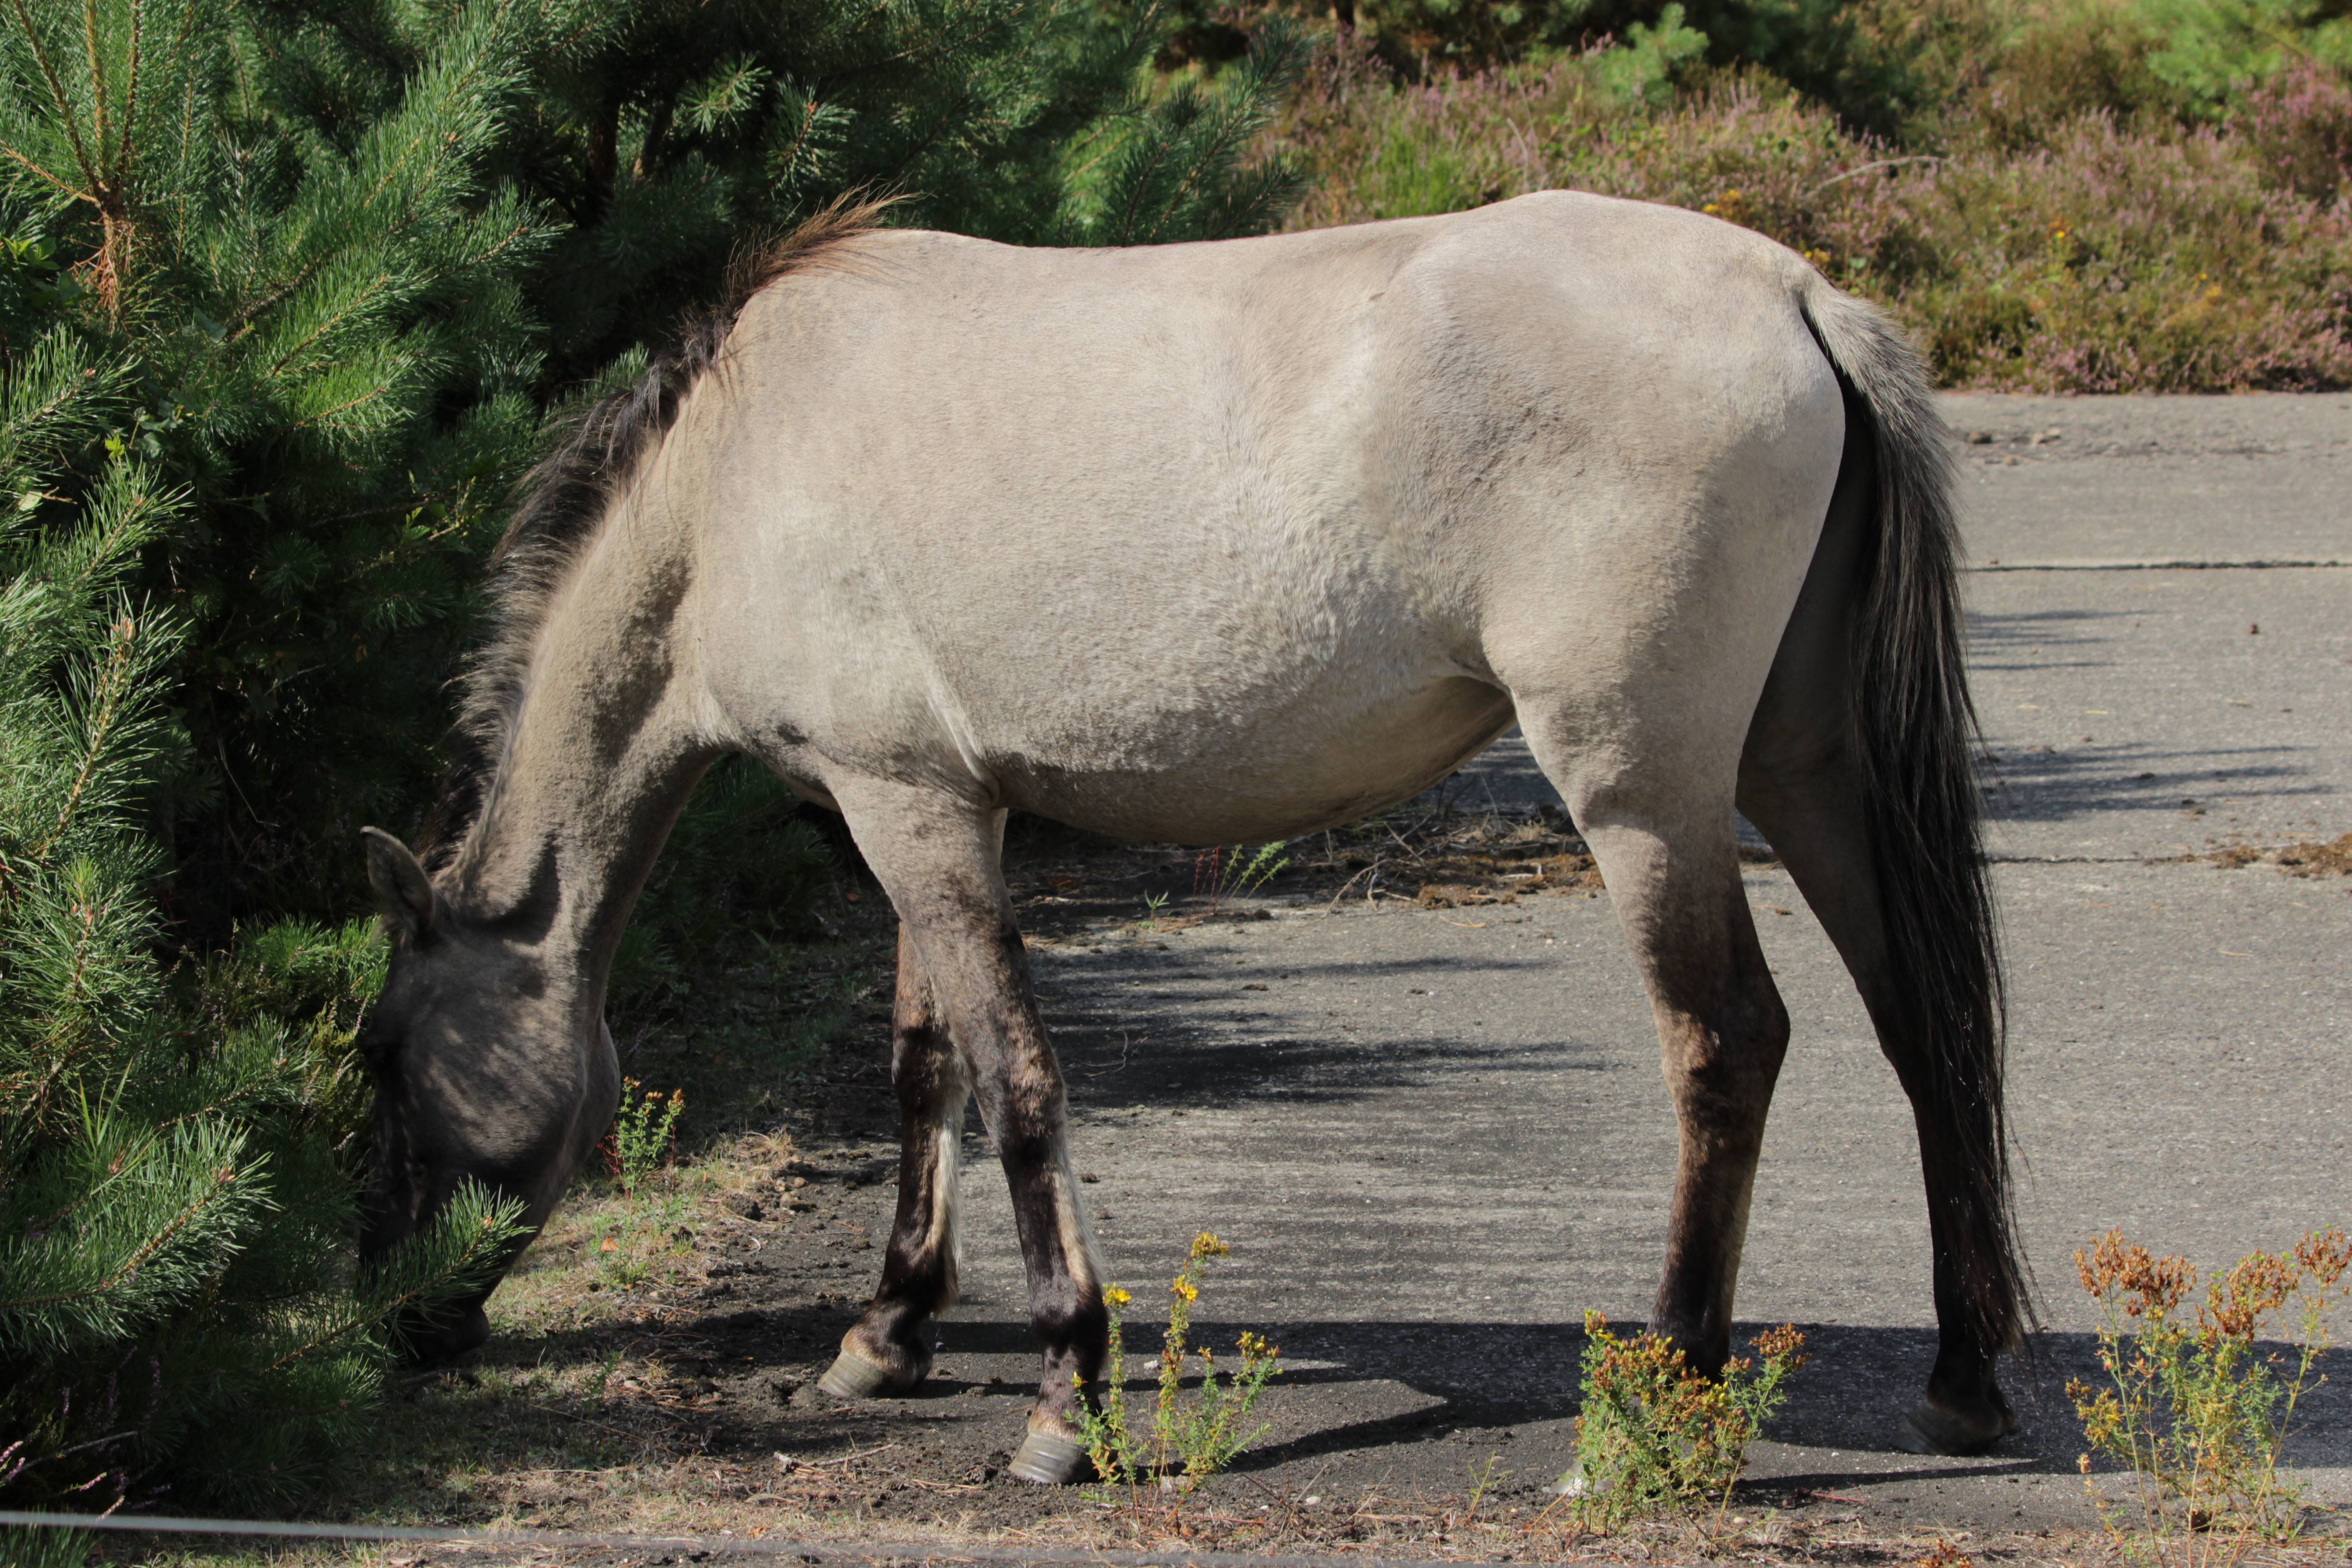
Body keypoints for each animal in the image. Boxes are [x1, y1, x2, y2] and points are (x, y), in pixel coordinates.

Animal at [357, 192, 2032, 1485]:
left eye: (384, 1065)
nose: (392, 1321)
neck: (732, 480)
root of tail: (1796, 295)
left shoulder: (907, 808)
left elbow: (1015, 1084)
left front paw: (1061, 1401)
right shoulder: (927, 805)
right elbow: (926, 1064)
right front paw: (887, 1331)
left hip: (1643, 793)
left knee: (1726, 1042)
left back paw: (1649, 1414)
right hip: (1804, 768)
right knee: (1922, 1024)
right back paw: (1960, 1380)